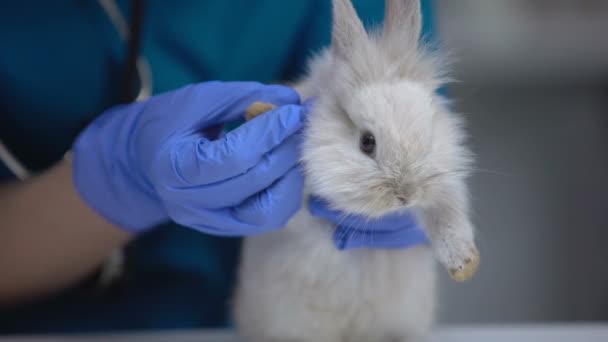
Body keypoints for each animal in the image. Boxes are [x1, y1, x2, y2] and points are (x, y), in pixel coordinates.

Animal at [235, 1, 478, 340]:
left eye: (427, 135)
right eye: (367, 142)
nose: (406, 195)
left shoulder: (445, 191)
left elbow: (448, 218)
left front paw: (465, 265)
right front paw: (260, 113)